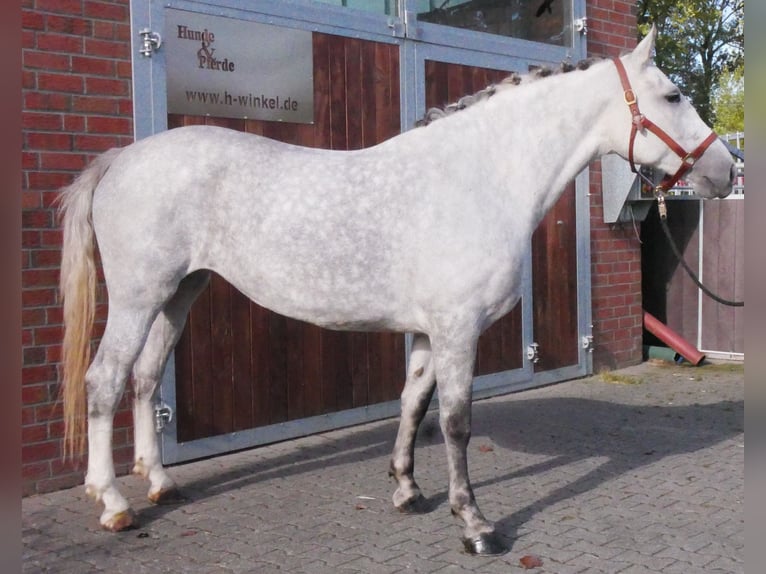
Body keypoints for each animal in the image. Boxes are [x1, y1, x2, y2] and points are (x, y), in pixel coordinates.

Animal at [58, 27, 734, 555]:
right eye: (673, 95)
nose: (727, 169)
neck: (477, 177)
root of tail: (120, 160)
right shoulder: (458, 329)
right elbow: (455, 422)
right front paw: (475, 525)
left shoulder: (430, 331)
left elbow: (412, 402)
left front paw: (407, 491)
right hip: (139, 297)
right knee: (105, 381)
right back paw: (113, 502)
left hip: (180, 293)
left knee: (146, 378)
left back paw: (160, 483)